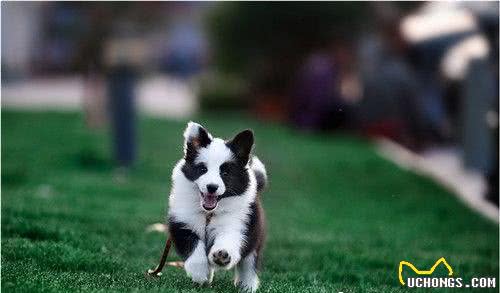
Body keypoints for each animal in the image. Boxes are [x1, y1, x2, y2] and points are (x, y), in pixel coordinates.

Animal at [168, 121, 268, 292]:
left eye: (225, 173)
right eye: (203, 169)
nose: (212, 187)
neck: (209, 214)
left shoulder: (237, 224)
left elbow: (229, 240)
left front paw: (222, 255)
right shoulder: (182, 223)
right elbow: (193, 247)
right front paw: (200, 274)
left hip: (255, 236)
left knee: (249, 263)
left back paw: (247, 286)